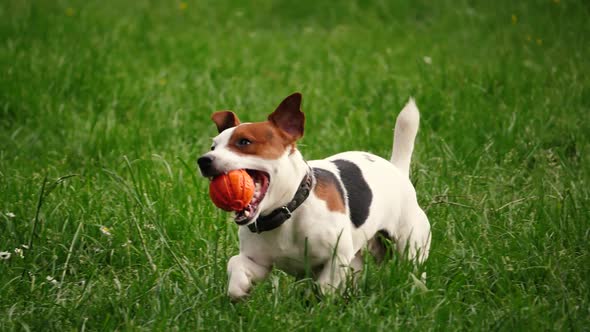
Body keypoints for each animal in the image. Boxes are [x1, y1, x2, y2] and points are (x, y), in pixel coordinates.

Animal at [197, 92, 432, 300]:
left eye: (244, 142)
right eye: (213, 146)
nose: (203, 160)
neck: (288, 211)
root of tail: (396, 169)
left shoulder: (338, 256)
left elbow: (325, 287)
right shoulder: (257, 262)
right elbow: (235, 263)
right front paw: (239, 288)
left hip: (410, 246)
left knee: (413, 267)